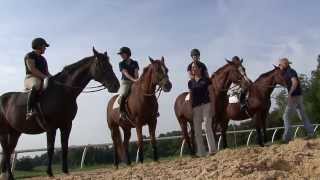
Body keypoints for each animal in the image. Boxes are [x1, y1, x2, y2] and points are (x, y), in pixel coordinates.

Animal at [0, 48, 120, 180]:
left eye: (110, 65)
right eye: (102, 65)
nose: (116, 85)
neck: (63, 91)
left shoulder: (66, 125)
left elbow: (64, 146)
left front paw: (65, 171)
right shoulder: (50, 127)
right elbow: (50, 148)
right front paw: (49, 172)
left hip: (15, 132)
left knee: (8, 151)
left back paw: (6, 175)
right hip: (4, 132)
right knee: (6, 151)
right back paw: (10, 176)